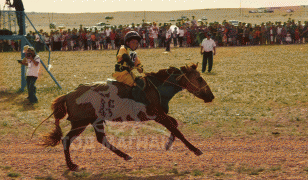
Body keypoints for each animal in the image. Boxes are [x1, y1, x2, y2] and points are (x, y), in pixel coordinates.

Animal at [39, 63, 214, 170]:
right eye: (199, 78)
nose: (211, 96)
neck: (157, 87)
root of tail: (68, 94)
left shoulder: (161, 115)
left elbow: (175, 126)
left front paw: (168, 144)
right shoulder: (158, 116)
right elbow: (177, 130)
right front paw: (195, 149)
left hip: (96, 121)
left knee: (101, 139)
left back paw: (126, 156)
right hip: (81, 123)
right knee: (66, 140)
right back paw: (72, 165)